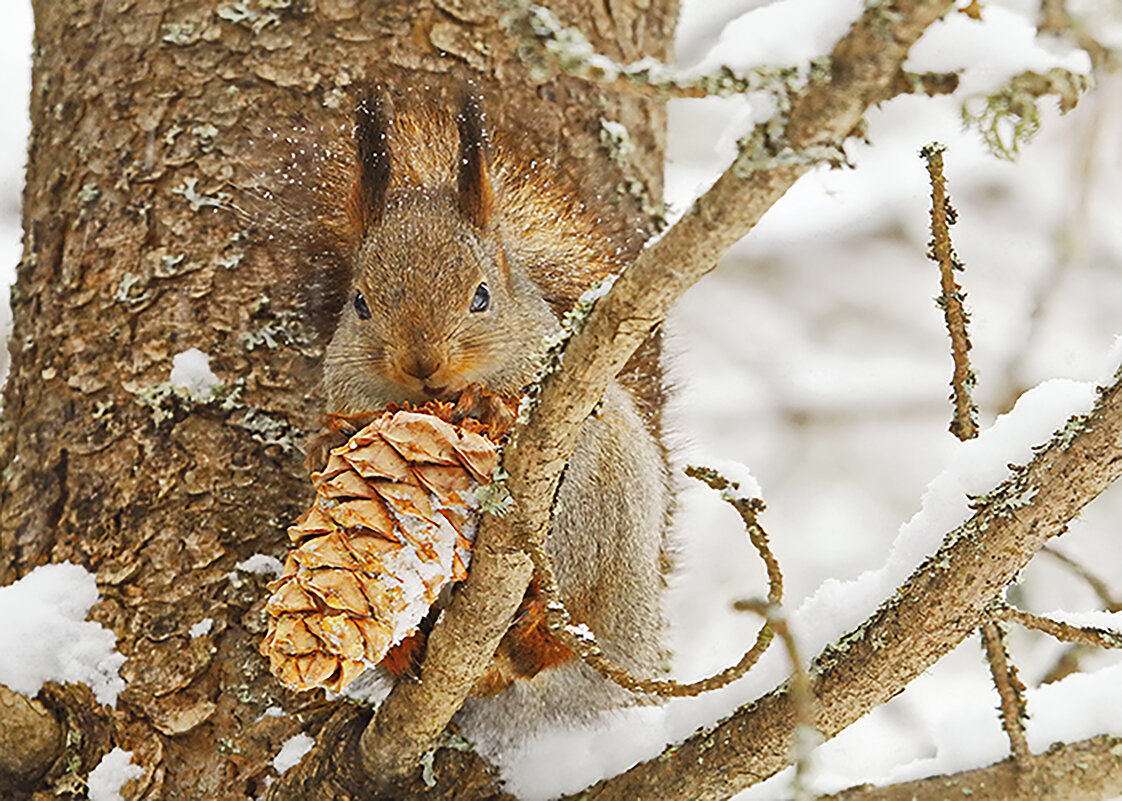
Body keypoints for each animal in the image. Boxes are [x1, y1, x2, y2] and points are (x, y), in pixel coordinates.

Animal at [311, 85, 668, 749]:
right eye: (360, 304)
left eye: (482, 296)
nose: (423, 363)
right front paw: (331, 439)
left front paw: (490, 407)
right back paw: (407, 648)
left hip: (600, 528)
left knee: (560, 628)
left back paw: (536, 630)